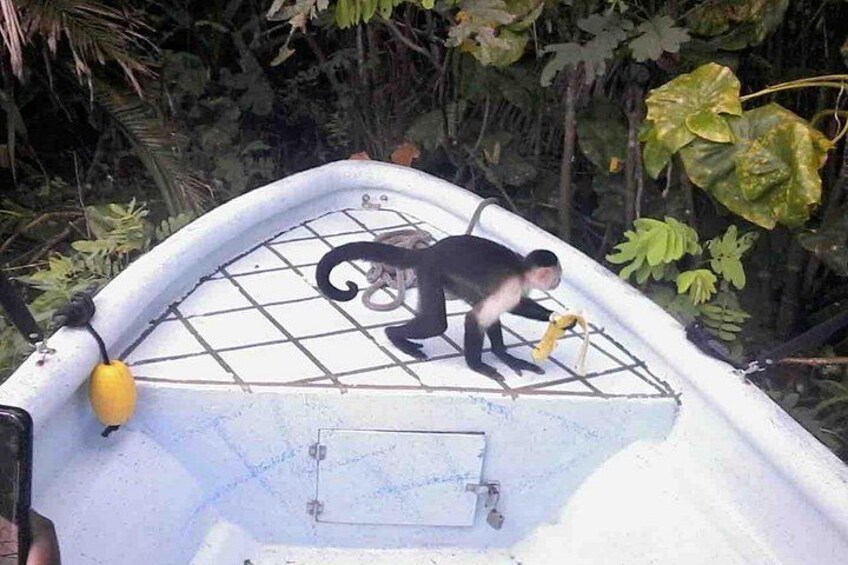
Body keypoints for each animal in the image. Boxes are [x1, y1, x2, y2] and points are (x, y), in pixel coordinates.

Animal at [316, 235, 562, 382]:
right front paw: (477, 366)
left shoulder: (518, 290)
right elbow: (475, 318)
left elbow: (512, 308)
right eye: (557, 276)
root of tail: (429, 251)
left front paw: (555, 318)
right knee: (436, 323)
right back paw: (394, 336)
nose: (558, 282)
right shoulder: (511, 287)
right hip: (430, 270)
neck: (522, 270)